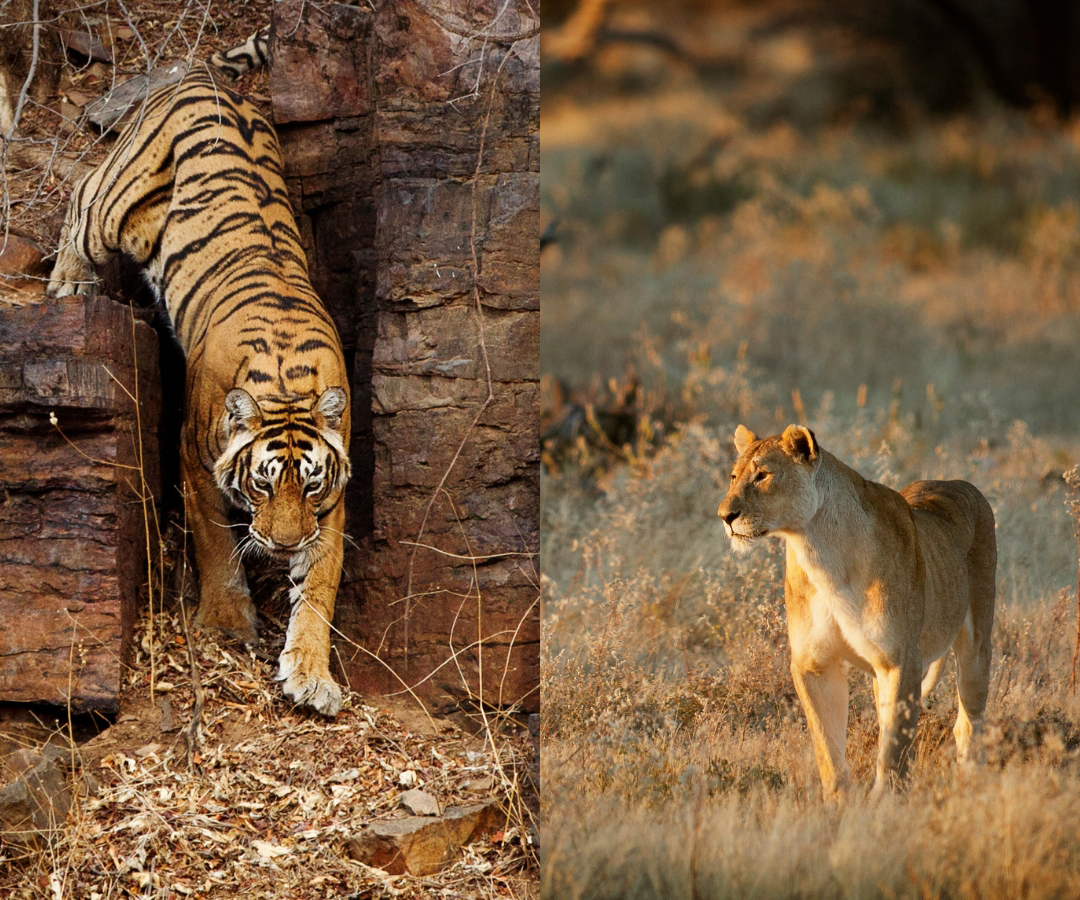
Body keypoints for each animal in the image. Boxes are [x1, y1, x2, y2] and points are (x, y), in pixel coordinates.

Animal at [47, 67, 352, 717]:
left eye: (310, 484)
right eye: (262, 483)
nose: (283, 545)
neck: (287, 385)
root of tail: (199, 74)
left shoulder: (331, 502)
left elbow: (320, 583)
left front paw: (311, 674)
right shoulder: (192, 453)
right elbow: (214, 539)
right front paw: (227, 620)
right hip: (116, 206)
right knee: (83, 192)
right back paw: (68, 284)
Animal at [717, 424, 996, 798]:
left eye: (763, 475)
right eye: (733, 476)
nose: (725, 516)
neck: (819, 551)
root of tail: (959, 483)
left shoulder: (900, 660)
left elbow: (893, 749)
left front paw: (884, 802)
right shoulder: (814, 665)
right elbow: (827, 747)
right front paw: (838, 804)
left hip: (976, 643)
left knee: (969, 721)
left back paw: (971, 782)